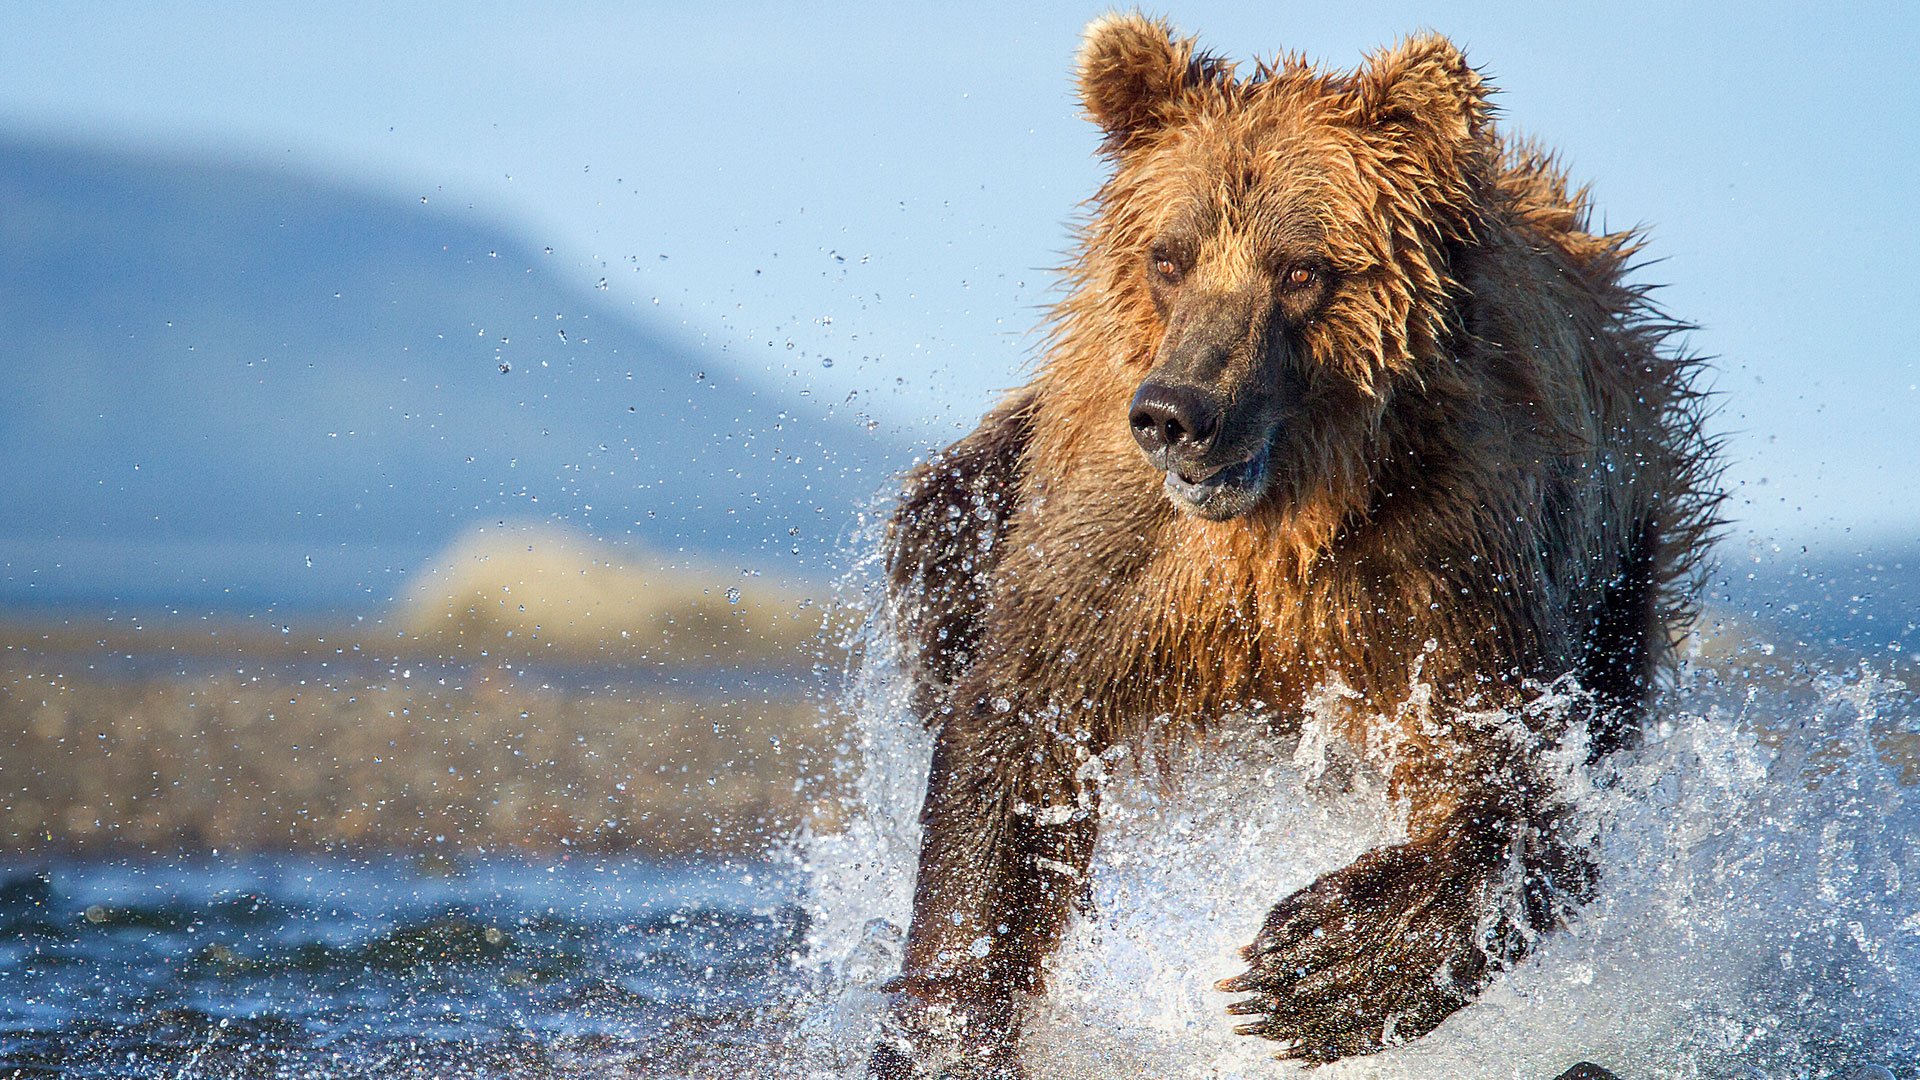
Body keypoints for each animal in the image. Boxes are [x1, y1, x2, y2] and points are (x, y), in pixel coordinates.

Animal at [864, 12, 1720, 1068]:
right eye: (1170, 256)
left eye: (1302, 269)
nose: (1177, 413)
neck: (1283, 520)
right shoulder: (1120, 550)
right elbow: (1016, 739)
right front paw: (947, 1031)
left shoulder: (1454, 559)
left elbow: (1509, 771)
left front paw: (1315, 967)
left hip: (1619, 569)